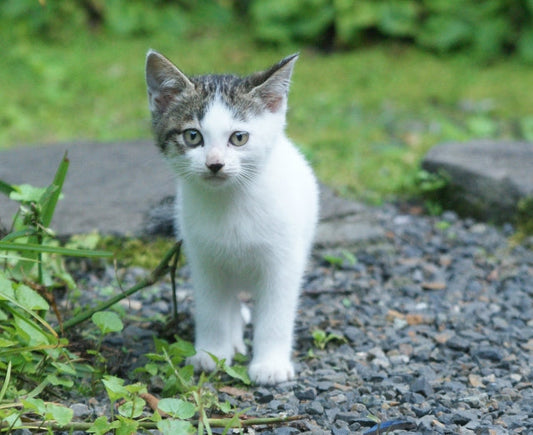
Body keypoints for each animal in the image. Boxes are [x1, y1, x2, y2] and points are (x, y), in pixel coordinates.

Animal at [143, 51, 318, 384]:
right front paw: (211, 353)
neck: (231, 203)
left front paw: (270, 364)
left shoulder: (283, 261)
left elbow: (276, 313)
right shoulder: (203, 258)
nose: (215, 164)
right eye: (193, 136)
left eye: (239, 138)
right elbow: (212, 309)